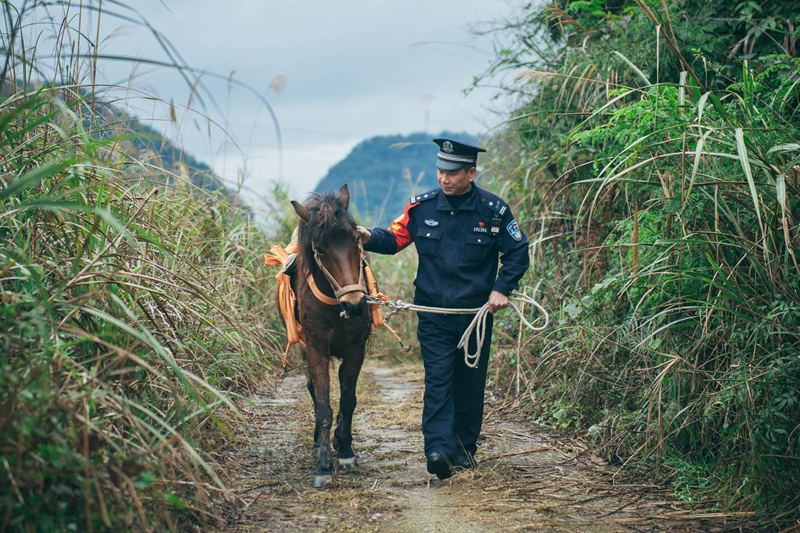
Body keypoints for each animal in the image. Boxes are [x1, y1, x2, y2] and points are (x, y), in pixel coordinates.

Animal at [290, 184, 374, 486]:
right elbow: (323, 404)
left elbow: (348, 401)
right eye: (320, 249)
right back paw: (318, 442)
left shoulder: (356, 348)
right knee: (312, 390)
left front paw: (346, 449)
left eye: (356, 240)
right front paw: (324, 464)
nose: (355, 304)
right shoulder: (316, 348)